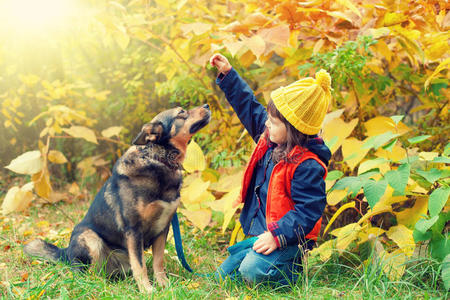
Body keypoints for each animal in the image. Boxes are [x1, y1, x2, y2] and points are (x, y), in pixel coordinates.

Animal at [25, 103, 212, 292]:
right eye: (181, 112)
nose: (206, 105)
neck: (158, 160)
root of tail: (66, 253)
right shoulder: (134, 229)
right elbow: (140, 265)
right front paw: (147, 290)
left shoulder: (163, 228)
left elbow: (158, 262)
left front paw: (164, 285)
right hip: (90, 238)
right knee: (90, 273)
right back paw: (98, 285)